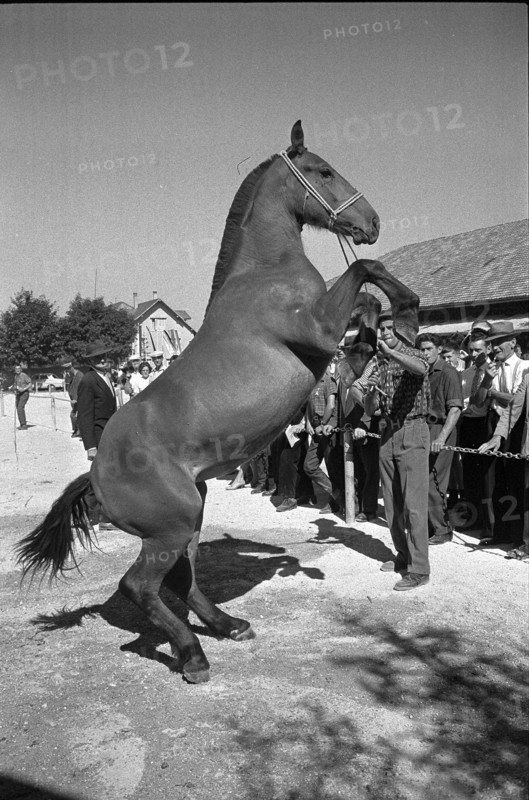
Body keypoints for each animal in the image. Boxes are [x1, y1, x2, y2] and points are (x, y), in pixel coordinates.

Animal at [16, 121, 419, 683]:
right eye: (323, 171)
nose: (373, 221)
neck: (264, 273)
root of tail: (94, 475)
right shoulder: (317, 330)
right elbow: (364, 269)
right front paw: (406, 312)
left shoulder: (327, 329)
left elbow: (364, 300)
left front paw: (390, 331)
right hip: (172, 523)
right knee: (139, 587)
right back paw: (193, 656)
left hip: (190, 513)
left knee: (181, 580)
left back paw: (229, 626)